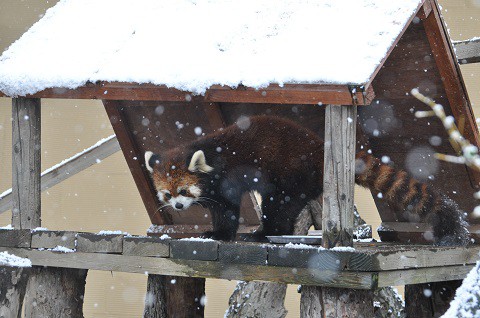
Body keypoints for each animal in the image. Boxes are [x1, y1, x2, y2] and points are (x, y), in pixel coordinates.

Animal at [144, 115, 466, 245]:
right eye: (167, 194)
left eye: (184, 189)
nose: (179, 207)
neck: (211, 154)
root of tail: (319, 150)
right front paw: (213, 231)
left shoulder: (228, 178)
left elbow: (228, 209)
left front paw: (220, 233)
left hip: (292, 173)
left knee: (280, 204)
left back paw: (265, 232)